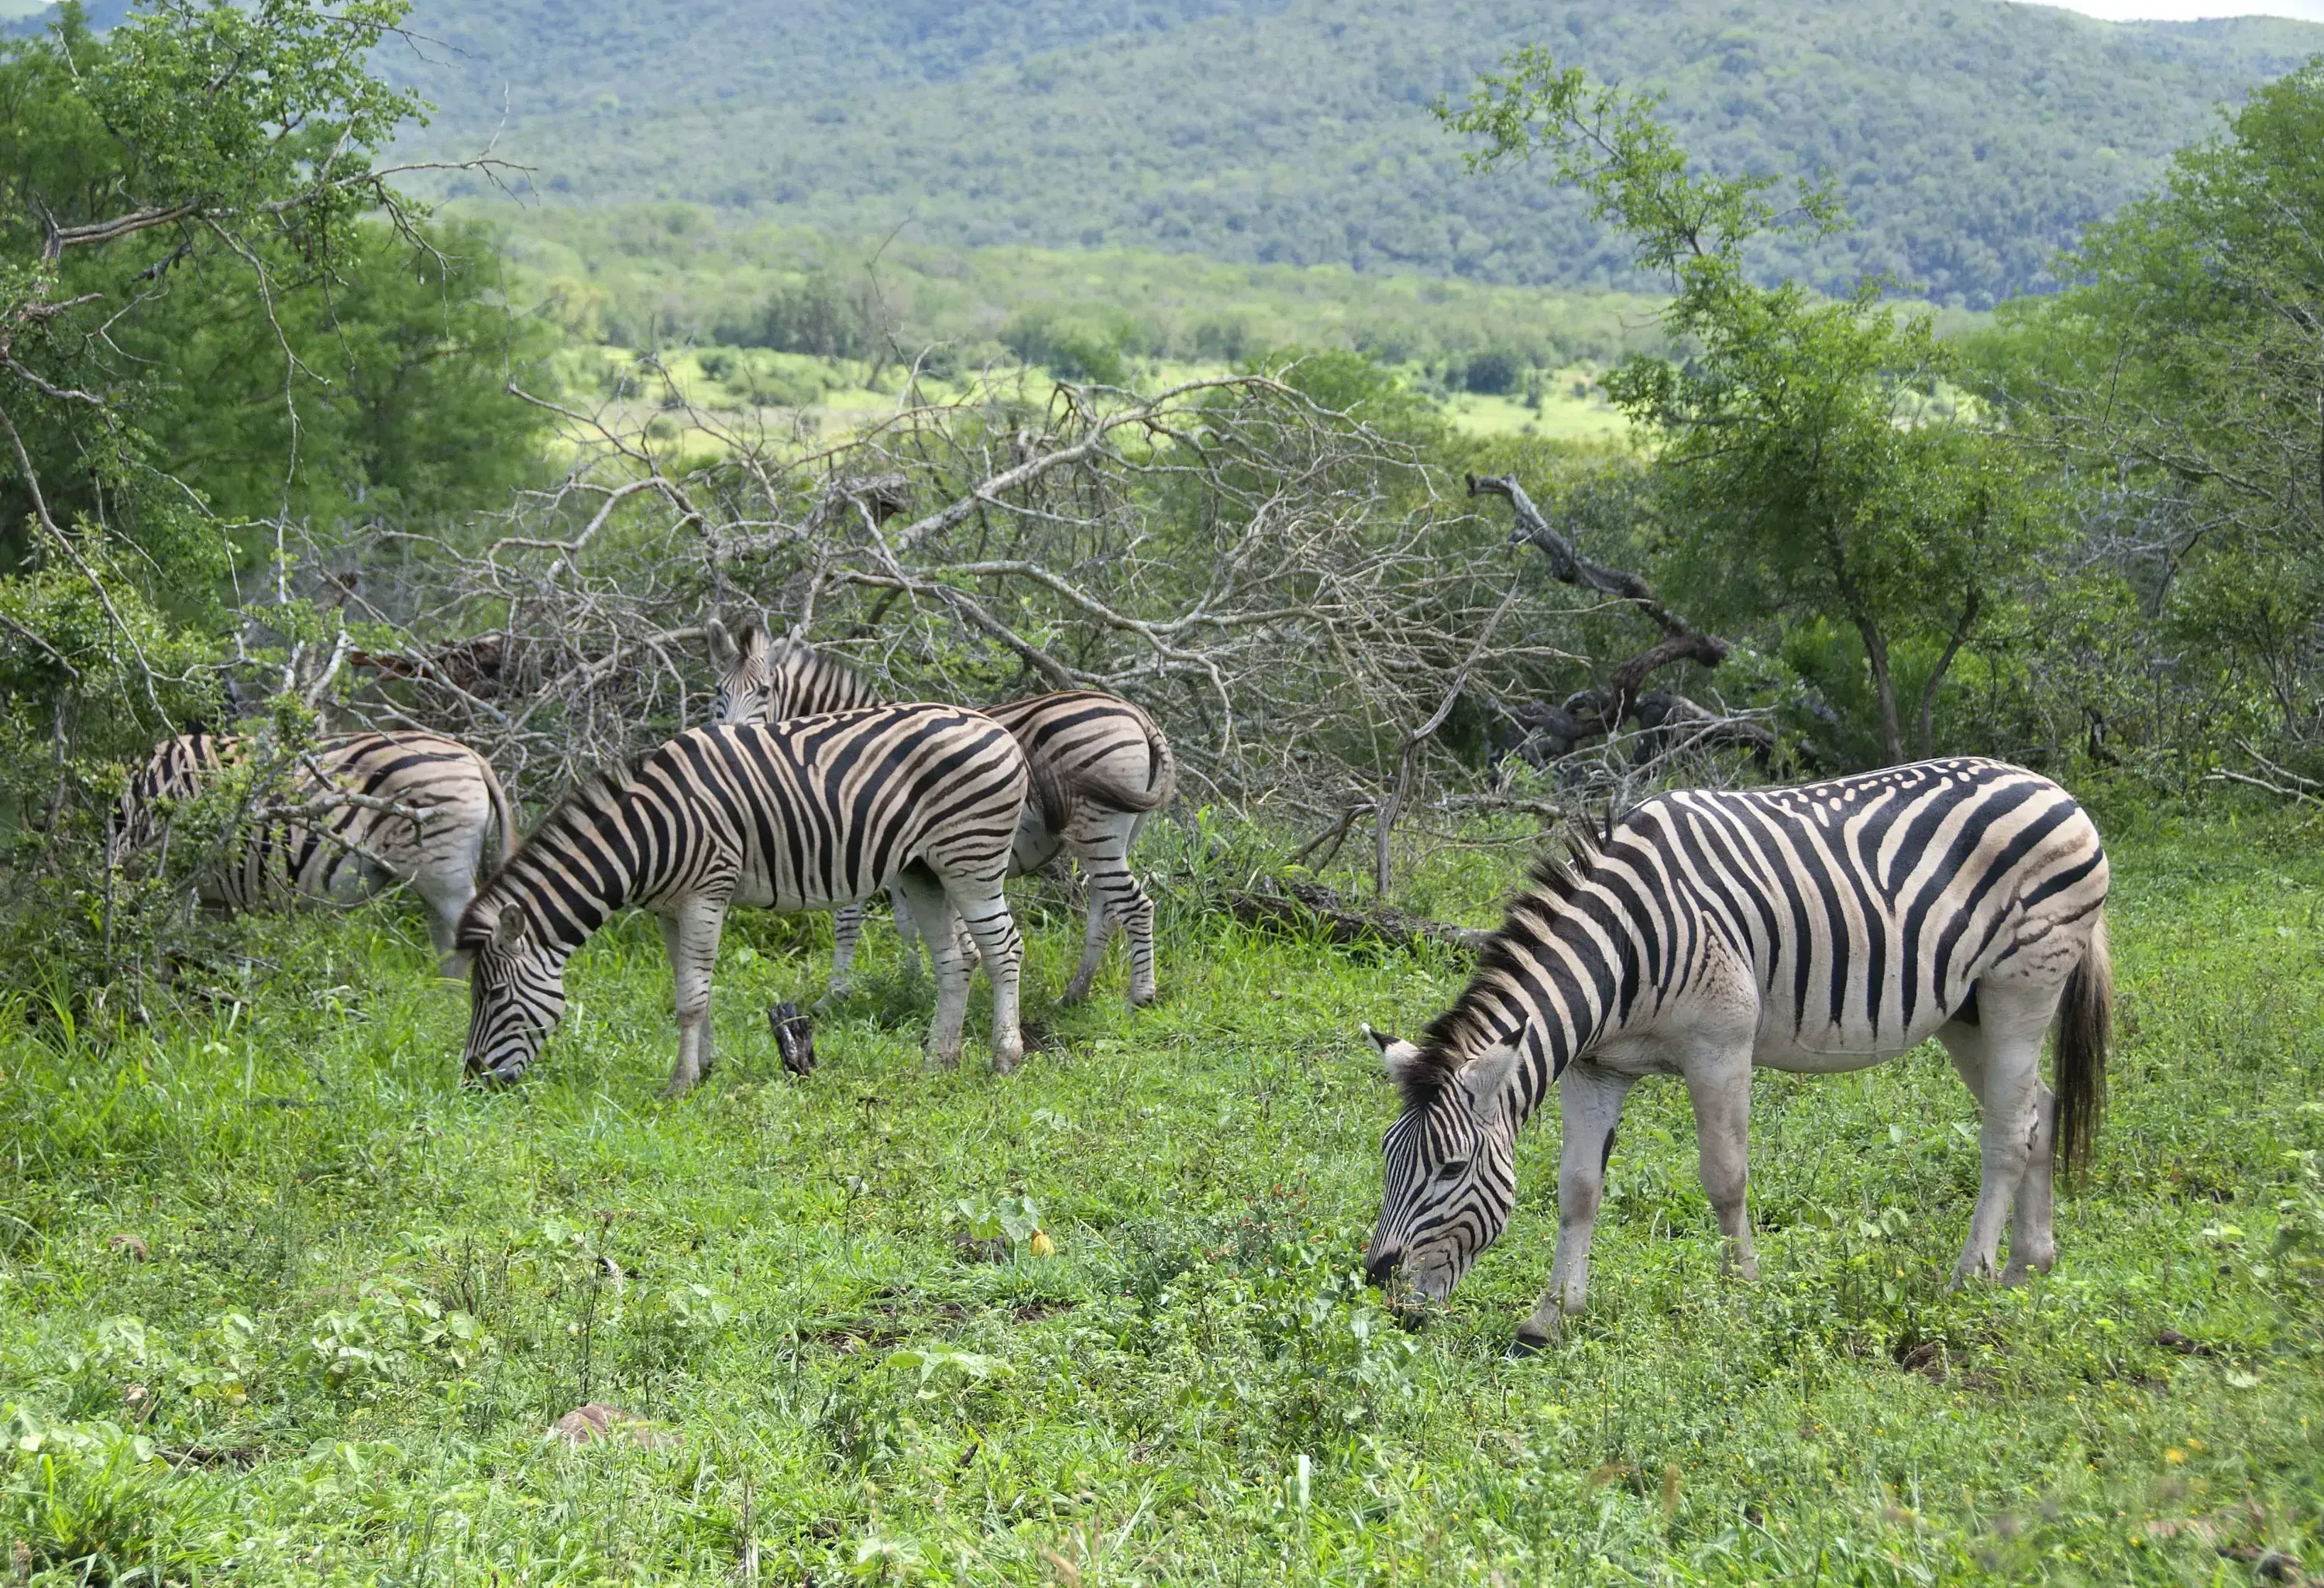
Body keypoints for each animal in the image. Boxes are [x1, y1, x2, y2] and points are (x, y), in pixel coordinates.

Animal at [116, 729, 515, 954]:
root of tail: (475, 758)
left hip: (444, 876)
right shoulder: (215, 897)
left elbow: (163, 951)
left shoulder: (173, 874)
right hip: (438, 883)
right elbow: (207, 955)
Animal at [450, 707, 1032, 1095]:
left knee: (1003, 949)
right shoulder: (669, 910)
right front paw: (704, 1069)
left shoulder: (705, 893)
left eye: (493, 996)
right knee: (956, 959)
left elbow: (691, 997)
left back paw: (1004, 1059)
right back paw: (939, 1061)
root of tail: (998, 729)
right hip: (925, 869)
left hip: (972, 856)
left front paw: (679, 1084)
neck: (645, 837)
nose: (473, 1080)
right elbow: (690, 987)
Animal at [705, 617, 1178, 1005]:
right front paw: (916, 981)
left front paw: (836, 996)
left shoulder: (854, 842)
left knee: (1136, 906)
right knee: (1106, 910)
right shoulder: (901, 858)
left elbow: (850, 919)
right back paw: (1074, 995)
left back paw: (1140, 997)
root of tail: (1137, 714)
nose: (729, 741)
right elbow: (908, 922)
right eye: (719, 691)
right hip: (1114, 835)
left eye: (764, 691)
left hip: (1096, 833)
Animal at [1362, 758, 2112, 1353]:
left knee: (2007, 1135)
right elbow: (1577, 1191)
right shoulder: (1596, 1067)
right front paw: (1549, 1320)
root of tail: (2049, 785)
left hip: (2024, 985)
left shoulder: (1720, 1045)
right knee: (2039, 1112)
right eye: (1387, 1158)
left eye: (1451, 1167)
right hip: (1967, 1009)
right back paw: (2028, 1267)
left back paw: (1967, 1280)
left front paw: (1741, 1294)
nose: (1379, 1286)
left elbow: (1725, 1176)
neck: (1621, 951)